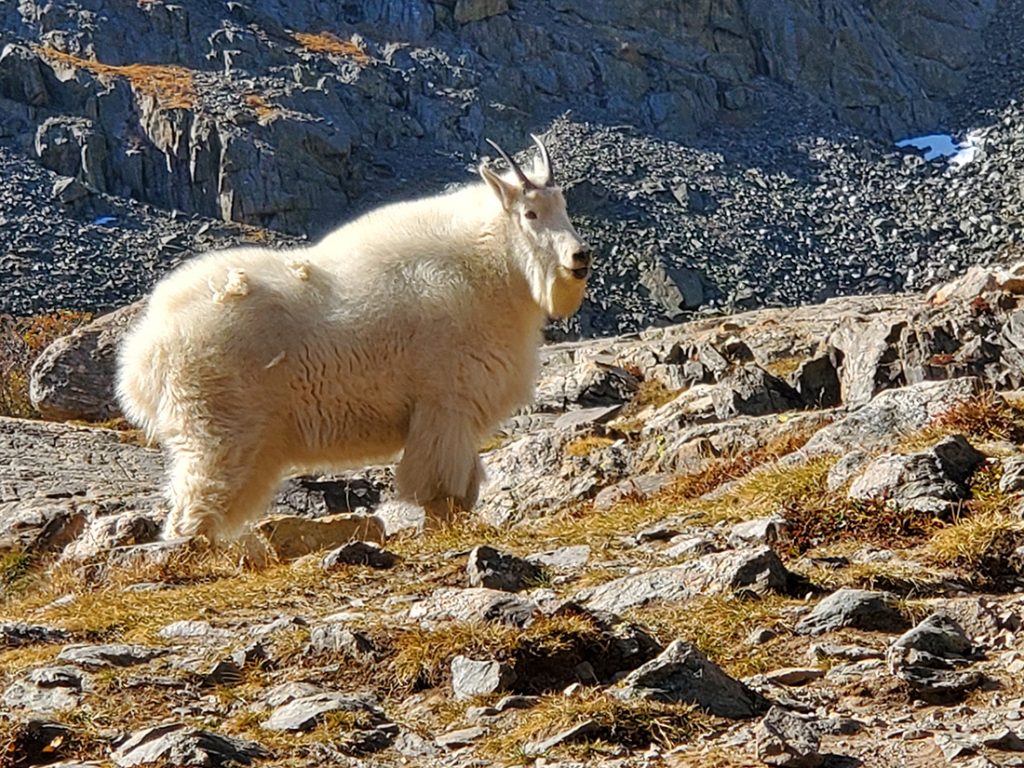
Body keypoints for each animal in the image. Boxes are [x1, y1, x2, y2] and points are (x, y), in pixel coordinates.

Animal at [116, 140, 593, 548]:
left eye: (564, 205)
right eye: (530, 213)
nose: (579, 258)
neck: (492, 268)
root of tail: (142, 355)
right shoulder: (445, 404)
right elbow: (446, 490)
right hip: (216, 431)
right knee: (194, 507)